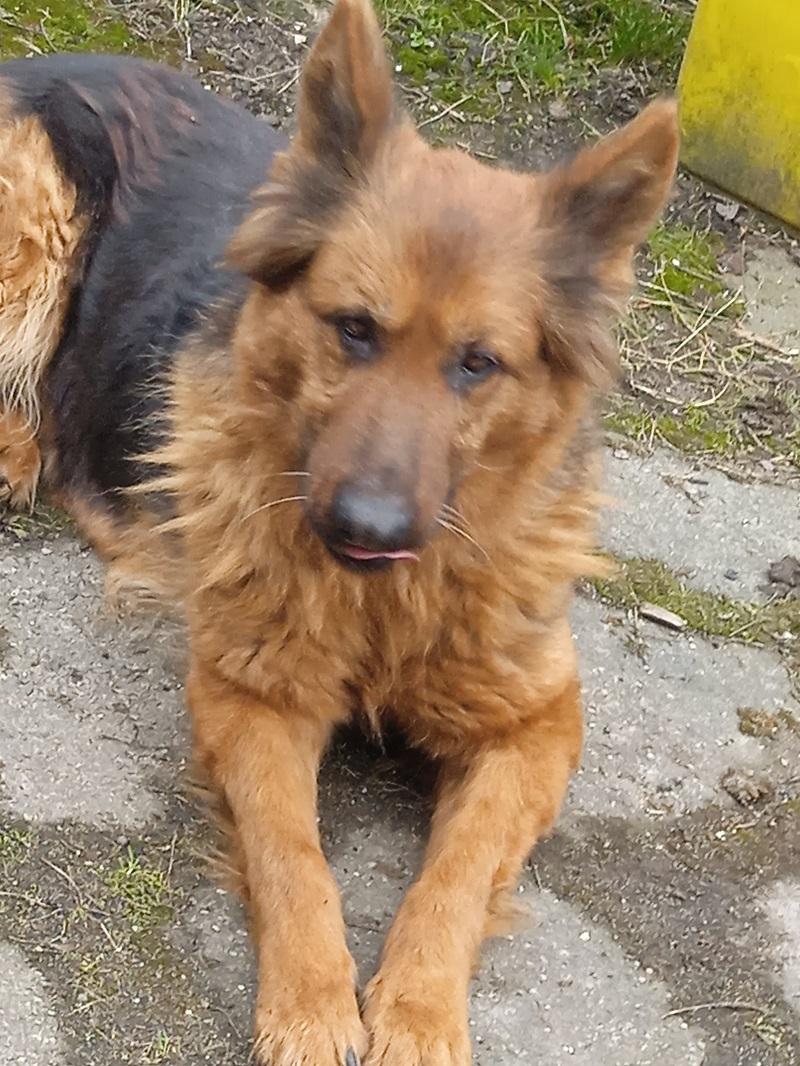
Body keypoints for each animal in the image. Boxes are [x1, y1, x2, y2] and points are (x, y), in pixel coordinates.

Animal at [0, 1, 678, 1062]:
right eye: (353, 328)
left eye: (477, 363)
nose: (367, 526)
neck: (384, 603)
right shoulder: (250, 697)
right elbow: (293, 854)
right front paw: (313, 1004)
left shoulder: (535, 726)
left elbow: (457, 870)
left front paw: (419, 1012)